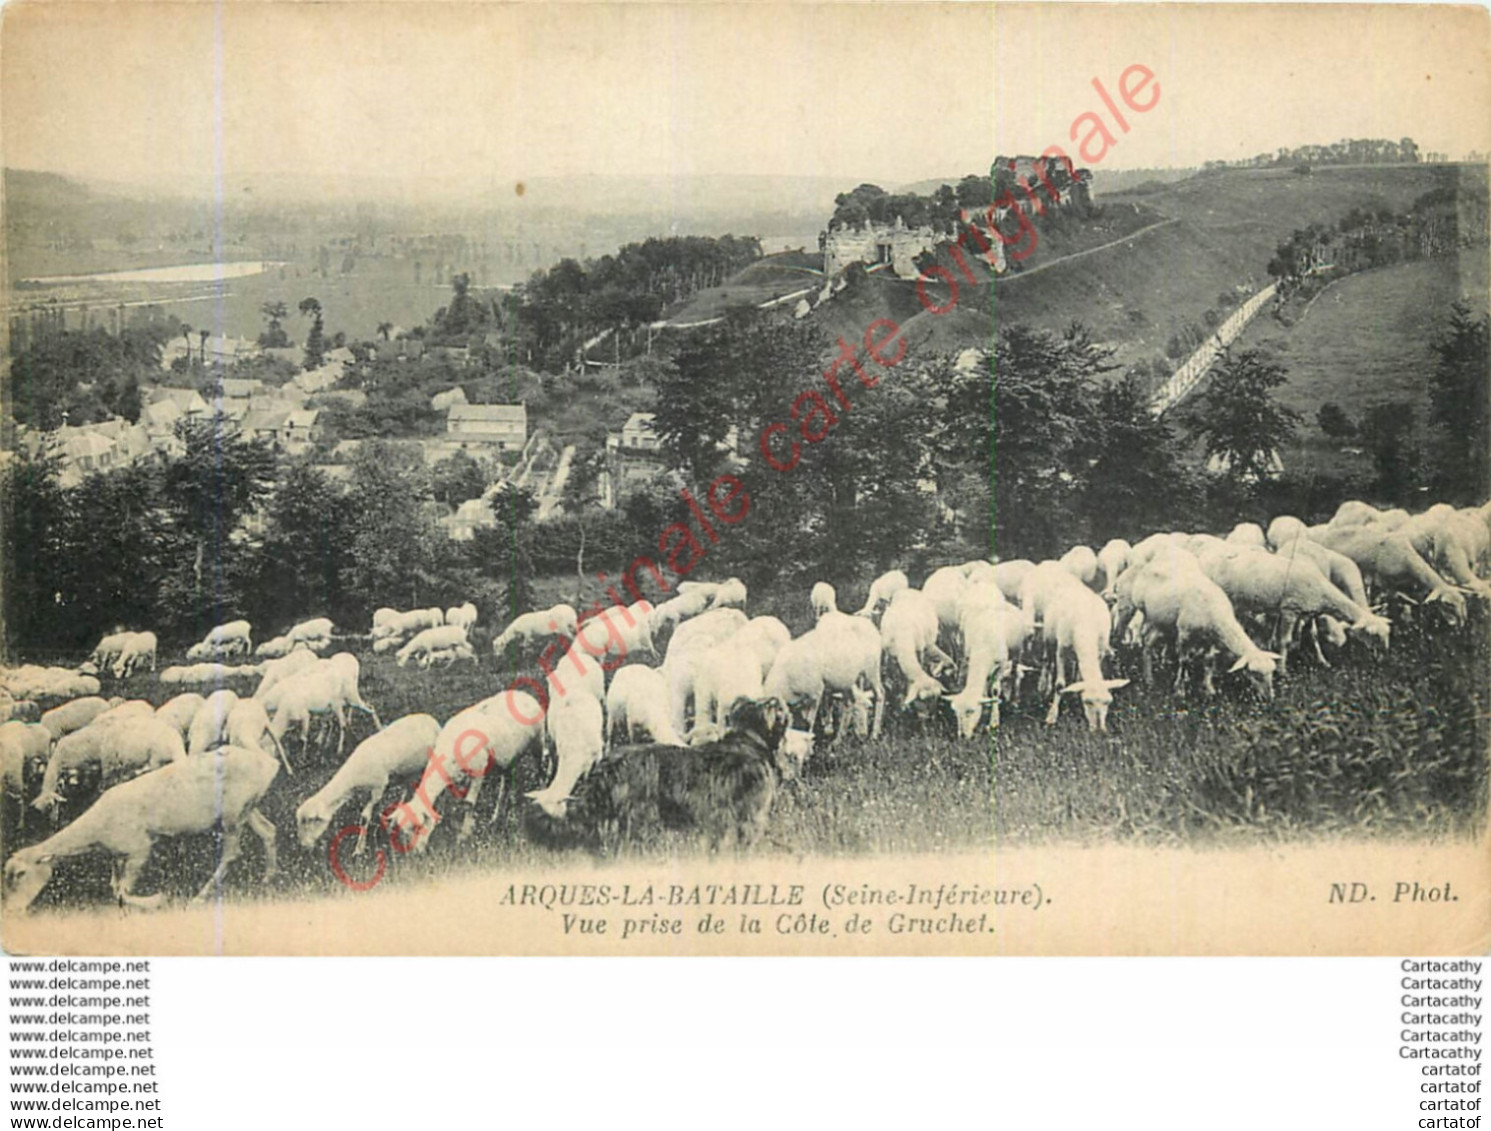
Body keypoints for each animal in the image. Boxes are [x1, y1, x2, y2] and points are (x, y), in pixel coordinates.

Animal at [4, 748, 280, 917]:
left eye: (20, 874)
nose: (11, 910)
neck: (97, 831)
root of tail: (270, 764)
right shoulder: (118, 855)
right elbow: (115, 888)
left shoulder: (139, 848)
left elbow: (123, 891)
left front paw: (158, 899)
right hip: (247, 809)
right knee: (268, 831)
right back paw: (267, 878)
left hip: (234, 814)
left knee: (232, 853)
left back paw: (199, 898)